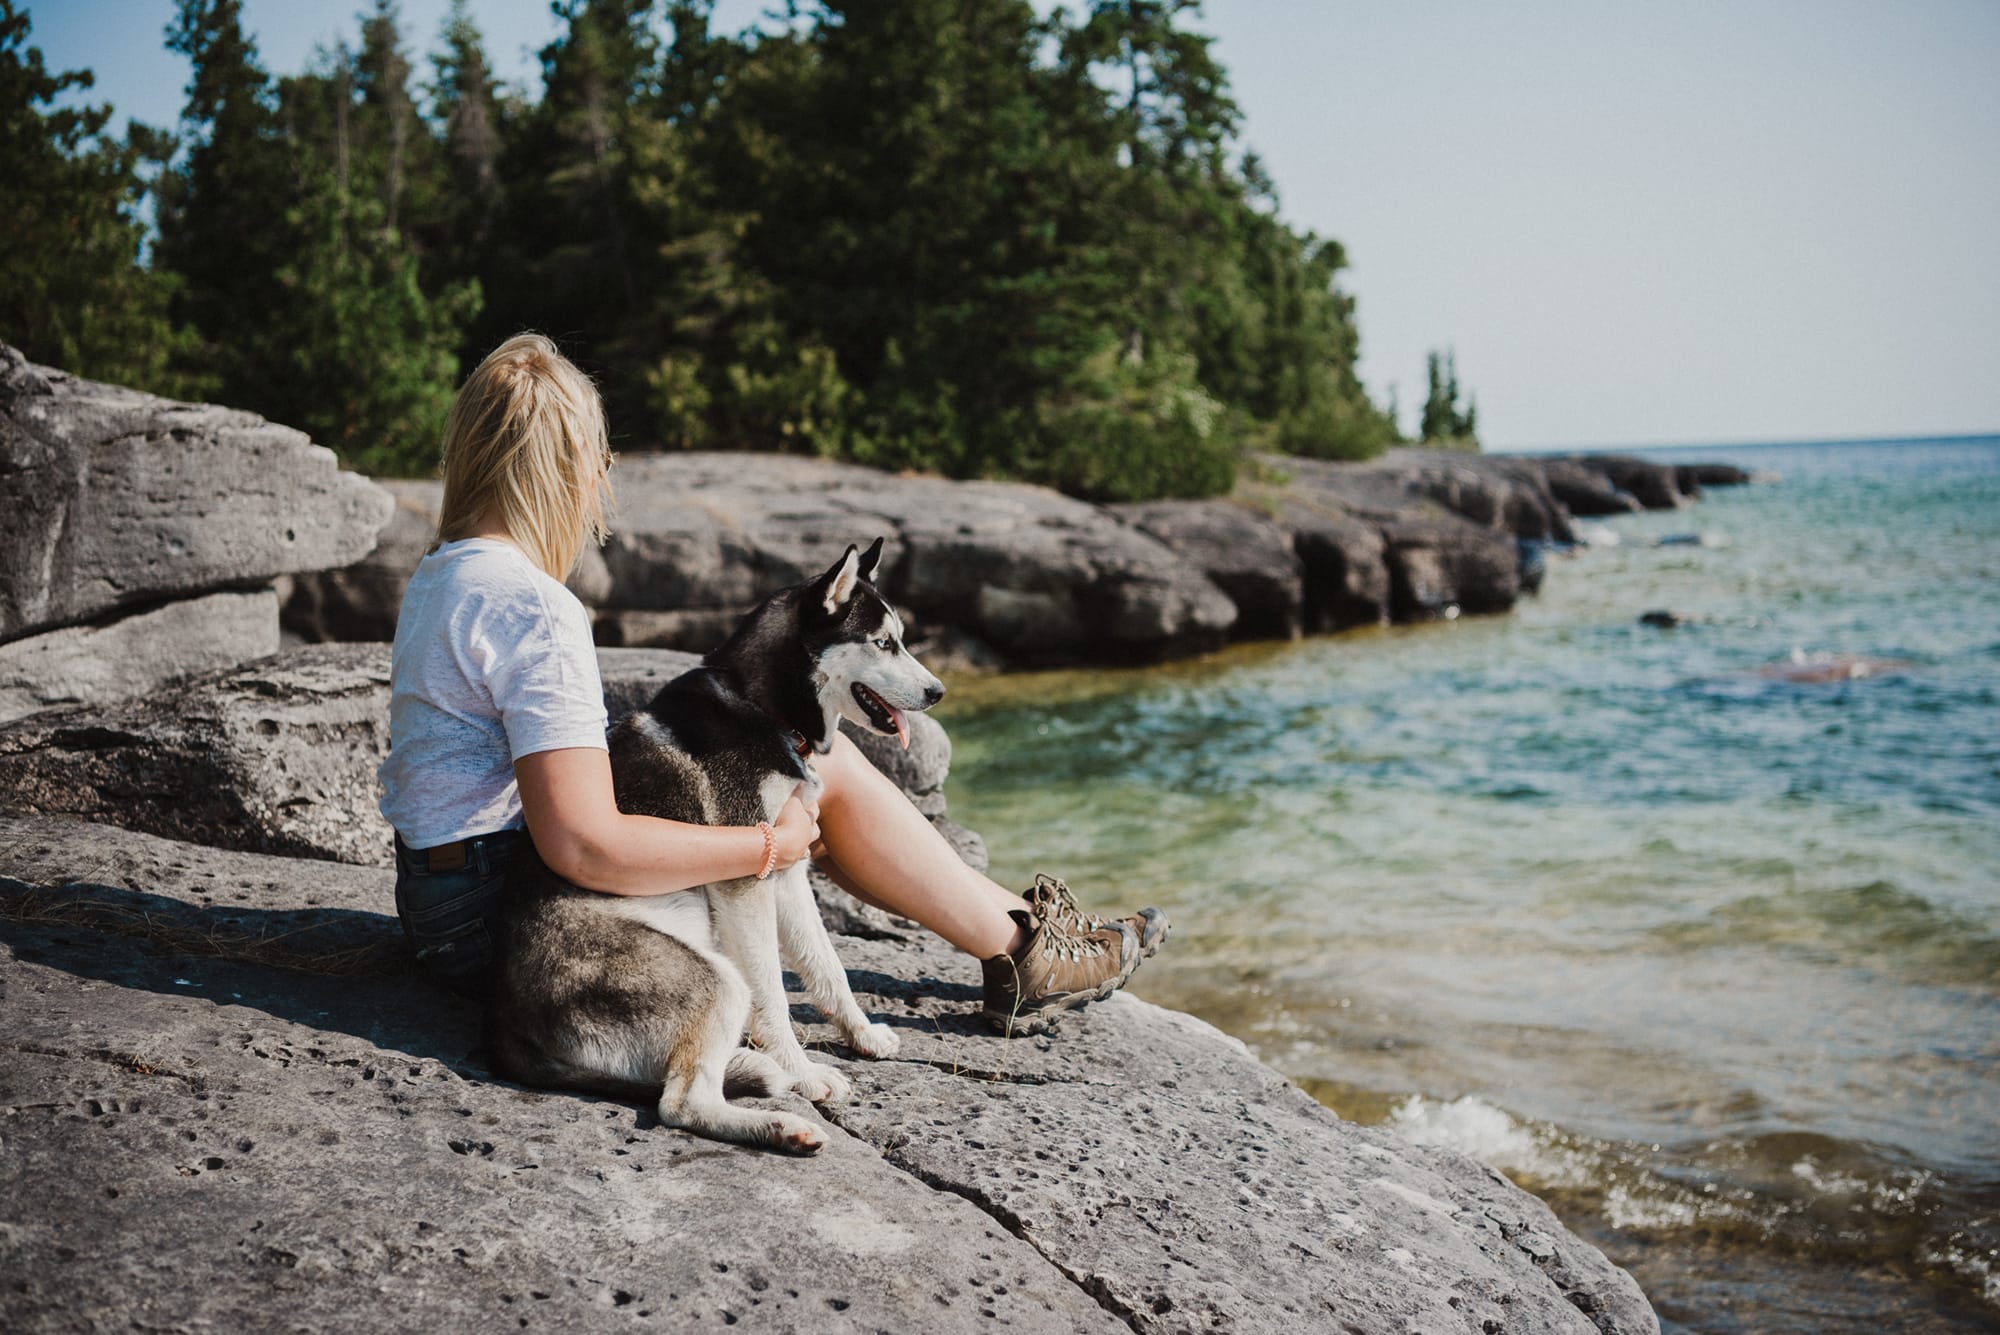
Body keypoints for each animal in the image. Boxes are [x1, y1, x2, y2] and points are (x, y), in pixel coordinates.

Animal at [490, 535, 944, 1151]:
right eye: (884, 643)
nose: (938, 691)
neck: (763, 706)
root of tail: (507, 1029)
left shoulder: (787, 867)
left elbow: (828, 967)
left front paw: (863, 1034)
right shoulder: (746, 881)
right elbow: (774, 996)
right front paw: (804, 1076)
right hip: (716, 980)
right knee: (681, 1104)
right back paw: (781, 1125)